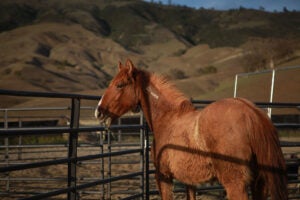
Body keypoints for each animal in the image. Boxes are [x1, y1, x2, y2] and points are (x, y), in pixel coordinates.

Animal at [95, 58, 288, 199]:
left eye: (119, 85)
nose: (99, 111)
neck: (167, 119)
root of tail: (251, 112)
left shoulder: (164, 177)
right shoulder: (189, 181)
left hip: (235, 183)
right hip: (259, 182)